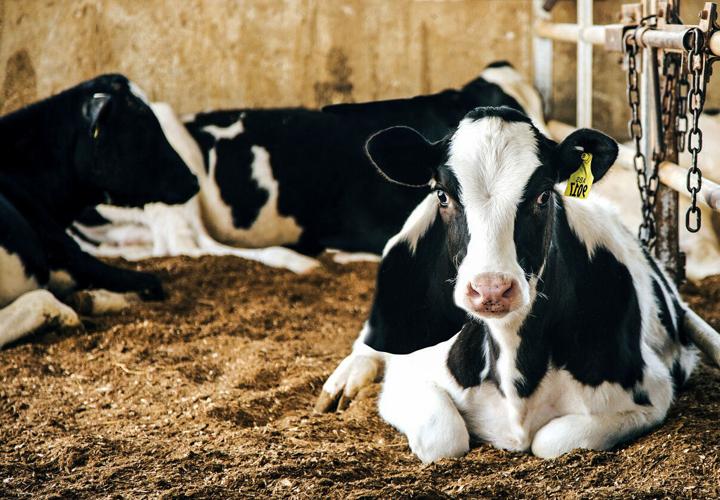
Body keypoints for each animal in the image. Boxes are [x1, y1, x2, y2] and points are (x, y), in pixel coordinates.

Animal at [317, 106, 720, 462]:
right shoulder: (409, 376)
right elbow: (443, 436)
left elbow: (550, 440)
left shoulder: (652, 392)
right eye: (443, 195)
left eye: (544, 194)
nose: (491, 289)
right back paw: (346, 379)